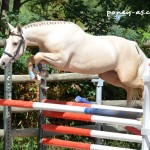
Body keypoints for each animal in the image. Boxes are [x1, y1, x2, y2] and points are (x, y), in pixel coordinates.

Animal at [0, 20, 148, 106]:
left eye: (15, 43)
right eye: (7, 42)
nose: (3, 62)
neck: (53, 34)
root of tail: (134, 45)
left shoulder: (61, 60)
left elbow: (37, 56)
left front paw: (40, 75)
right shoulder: (51, 58)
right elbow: (32, 59)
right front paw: (39, 76)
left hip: (126, 77)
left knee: (141, 85)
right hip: (111, 76)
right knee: (130, 90)